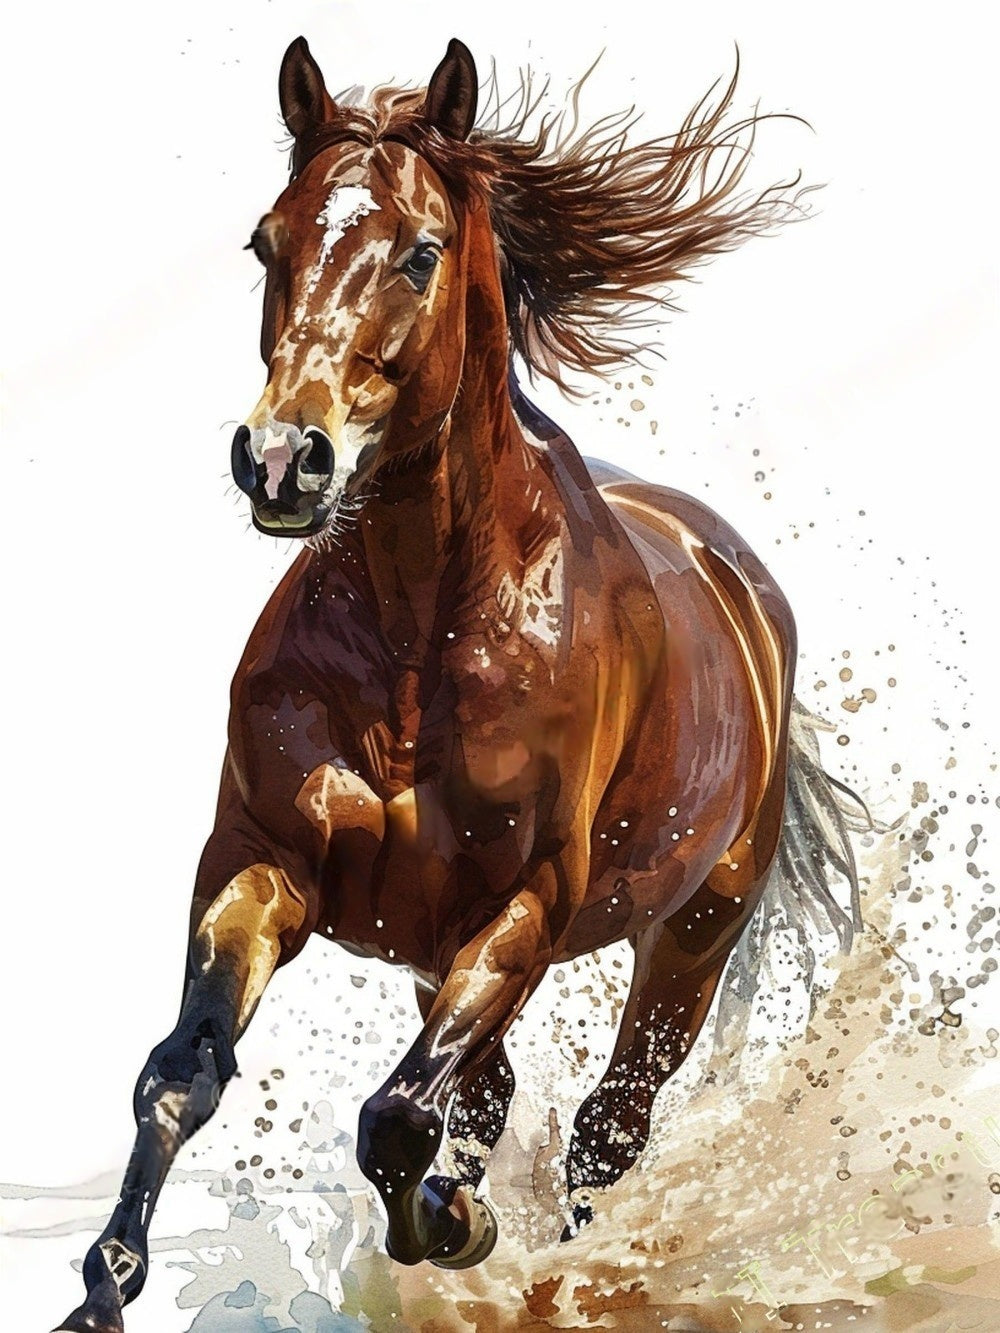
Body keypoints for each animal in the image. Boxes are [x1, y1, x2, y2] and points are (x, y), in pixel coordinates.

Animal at [56, 37, 859, 1333]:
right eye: (267, 243)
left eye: (420, 252)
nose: (281, 459)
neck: (416, 646)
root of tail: (744, 589)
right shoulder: (258, 866)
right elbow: (179, 1077)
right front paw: (100, 1293)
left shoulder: (522, 910)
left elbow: (396, 1119)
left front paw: (454, 1224)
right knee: (490, 1098)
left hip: (692, 935)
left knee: (606, 1127)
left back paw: (554, 1262)